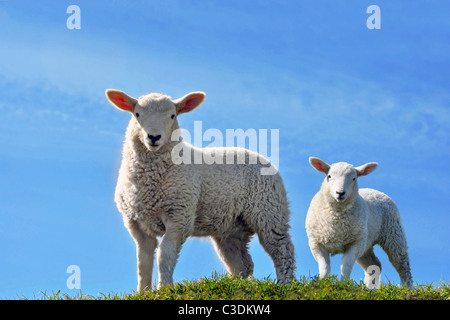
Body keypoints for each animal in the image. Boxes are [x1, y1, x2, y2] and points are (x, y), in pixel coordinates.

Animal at [105, 89, 296, 292]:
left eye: (172, 115)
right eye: (137, 114)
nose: (154, 137)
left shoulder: (179, 217)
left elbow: (164, 256)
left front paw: (165, 289)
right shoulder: (137, 224)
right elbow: (143, 263)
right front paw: (144, 292)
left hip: (269, 213)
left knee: (282, 249)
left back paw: (285, 283)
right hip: (231, 228)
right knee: (242, 264)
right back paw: (236, 285)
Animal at [304, 156, 414, 288]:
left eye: (354, 178)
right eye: (329, 176)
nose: (340, 193)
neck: (336, 221)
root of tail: (374, 190)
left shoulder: (354, 244)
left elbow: (345, 266)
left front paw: (343, 284)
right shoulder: (317, 243)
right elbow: (324, 266)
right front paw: (323, 283)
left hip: (393, 234)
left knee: (402, 264)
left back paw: (406, 288)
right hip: (366, 243)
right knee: (374, 264)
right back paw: (368, 288)